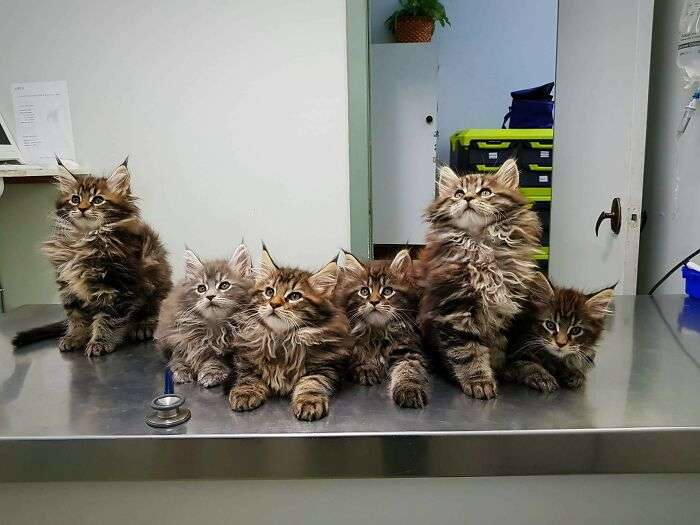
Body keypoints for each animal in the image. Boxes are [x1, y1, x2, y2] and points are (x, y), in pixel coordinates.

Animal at [11, 159, 172, 356]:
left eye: (97, 200)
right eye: (75, 199)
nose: (82, 208)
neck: (84, 239)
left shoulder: (116, 286)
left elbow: (107, 319)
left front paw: (100, 342)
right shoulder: (68, 286)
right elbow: (75, 316)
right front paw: (75, 337)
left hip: (156, 288)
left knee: (152, 311)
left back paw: (142, 327)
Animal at [154, 244, 256, 386]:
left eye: (224, 285)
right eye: (201, 288)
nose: (210, 296)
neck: (215, 327)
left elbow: (215, 360)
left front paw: (211, 373)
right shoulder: (180, 338)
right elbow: (179, 356)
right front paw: (181, 370)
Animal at [228, 246, 350, 422]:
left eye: (294, 296)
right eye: (269, 292)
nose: (273, 304)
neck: (282, 339)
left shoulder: (324, 367)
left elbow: (311, 383)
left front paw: (309, 402)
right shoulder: (246, 359)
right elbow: (248, 377)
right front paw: (245, 392)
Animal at [334, 250, 430, 410]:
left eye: (387, 291)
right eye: (364, 291)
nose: (374, 301)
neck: (378, 331)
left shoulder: (408, 350)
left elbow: (408, 370)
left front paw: (409, 389)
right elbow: (357, 355)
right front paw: (366, 367)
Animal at [416, 160, 540, 398]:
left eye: (485, 192)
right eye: (458, 193)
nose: (468, 198)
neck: (479, 246)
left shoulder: (502, 309)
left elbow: (497, 346)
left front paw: (497, 369)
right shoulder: (456, 309)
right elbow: (468, 352)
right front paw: (479, 381)